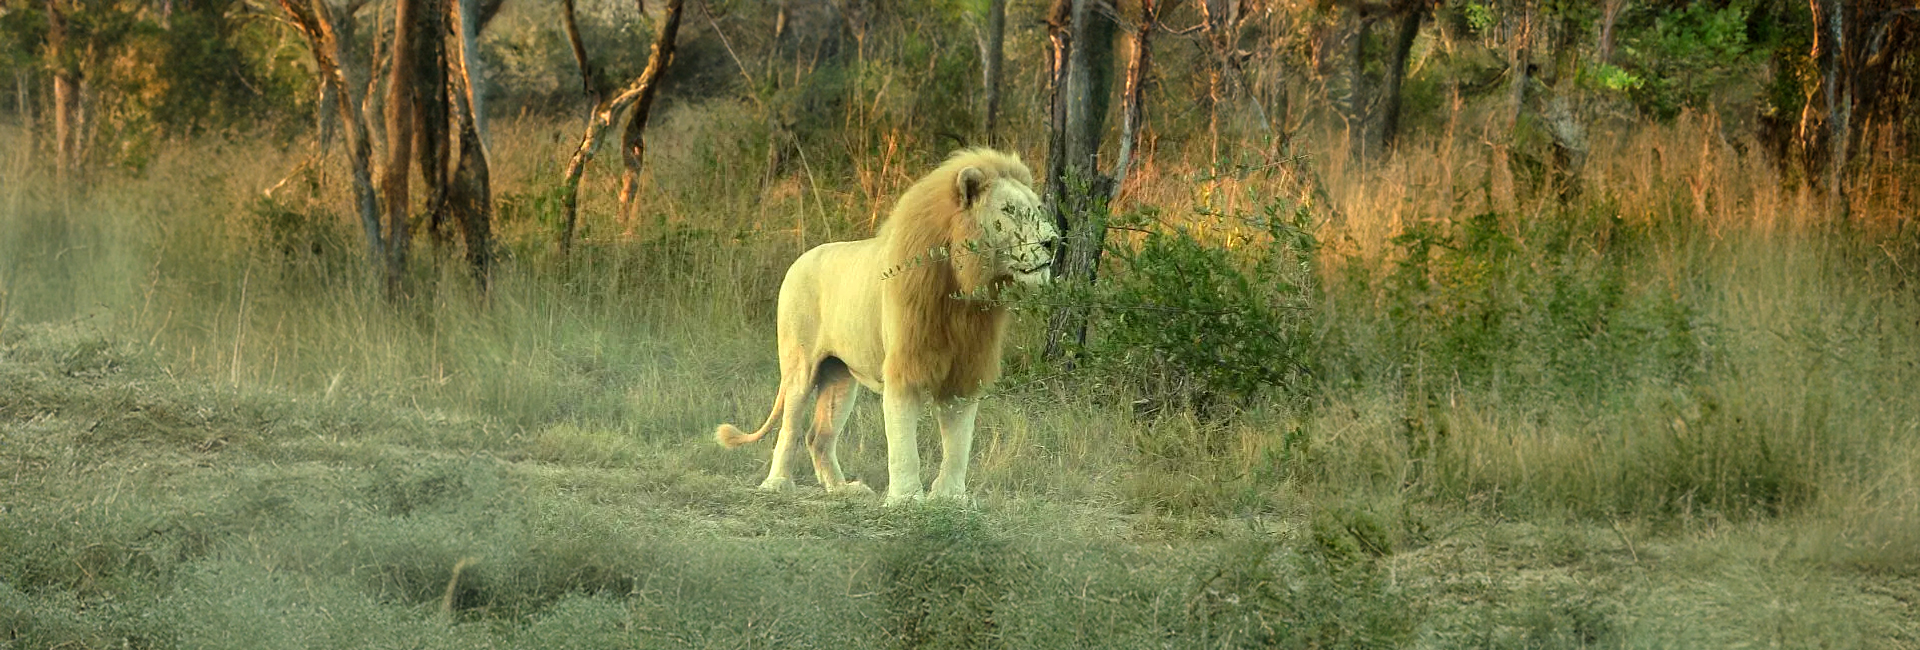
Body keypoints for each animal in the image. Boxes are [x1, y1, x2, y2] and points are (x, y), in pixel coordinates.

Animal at [715, 148, 1061, 505]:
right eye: (1009, 211)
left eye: (1037, 209)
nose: (1053, 241)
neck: (960, 293)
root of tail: (799, 260)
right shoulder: (904, 367)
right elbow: (904, 443)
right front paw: (906, 499)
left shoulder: (965, 370)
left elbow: (958, 442)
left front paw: (950, 497)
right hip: (800, 366)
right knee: (791, 427)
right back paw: (777, 484)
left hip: (839, 376)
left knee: (818, 435)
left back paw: (844, 489)